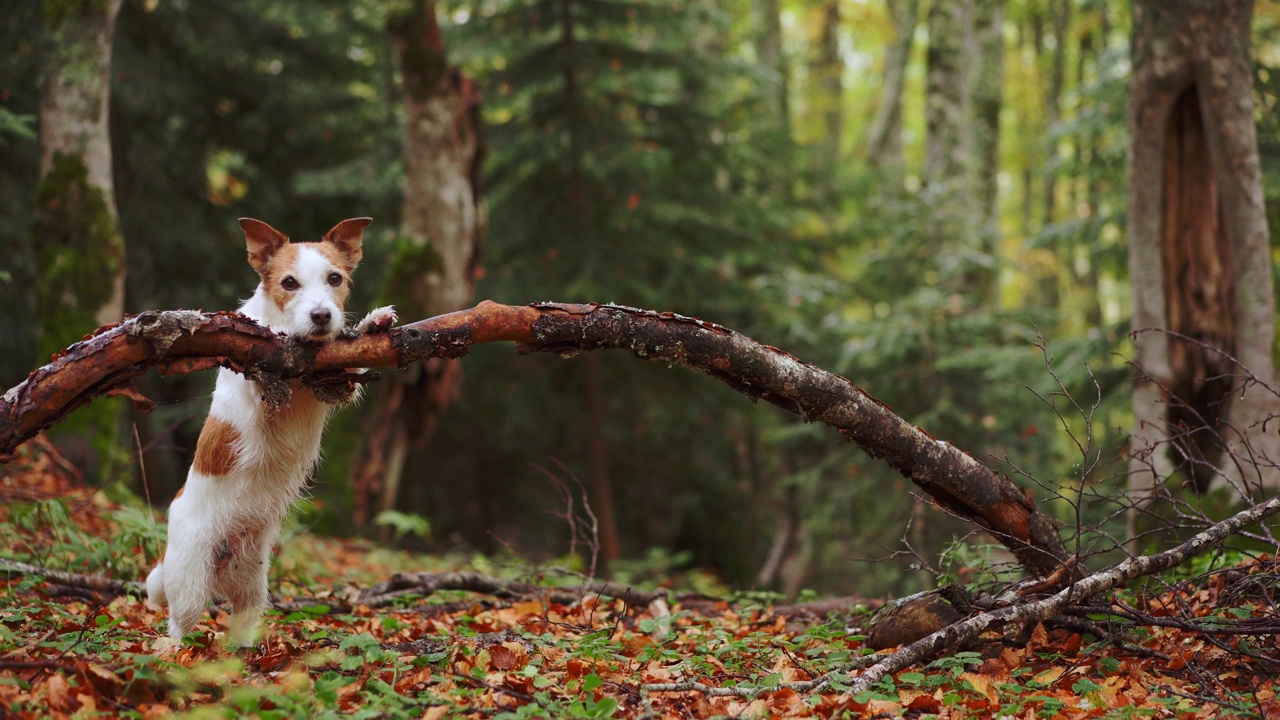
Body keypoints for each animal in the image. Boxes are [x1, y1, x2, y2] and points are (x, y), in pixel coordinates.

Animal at [146, 215, 394, 640]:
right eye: (289, 283)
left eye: (335, 278)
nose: (322, 316)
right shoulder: (255, 398)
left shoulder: (338, 384)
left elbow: (353, 363)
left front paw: (373, 323)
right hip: (189, 582)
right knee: (178, 624)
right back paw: (174, 650)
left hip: (253, 584)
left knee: (239, 626)